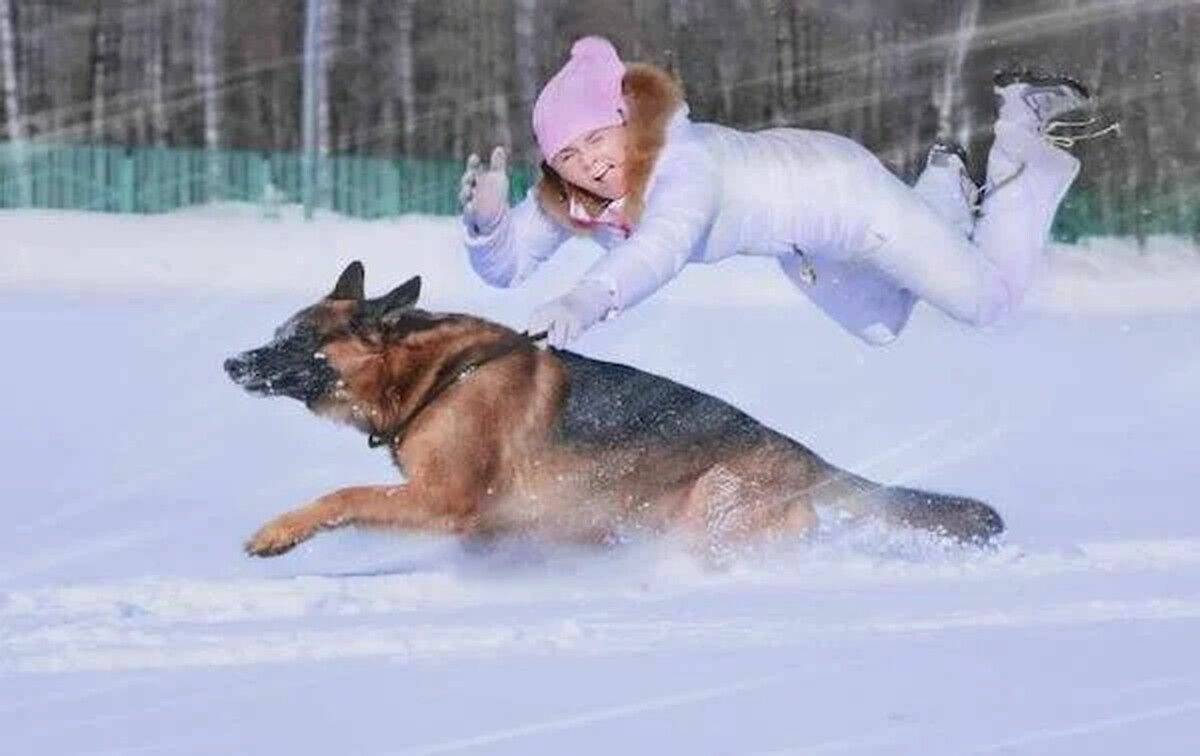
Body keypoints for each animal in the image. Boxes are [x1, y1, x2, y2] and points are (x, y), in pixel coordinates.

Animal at [225, 264, 1003, 559]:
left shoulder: (443, 499)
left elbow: (343, 495)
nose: (231, 364)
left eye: (294, 340)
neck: (434, 377)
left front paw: (277, 533)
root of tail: (805, 457)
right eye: (275, 332)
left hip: (707, 513)